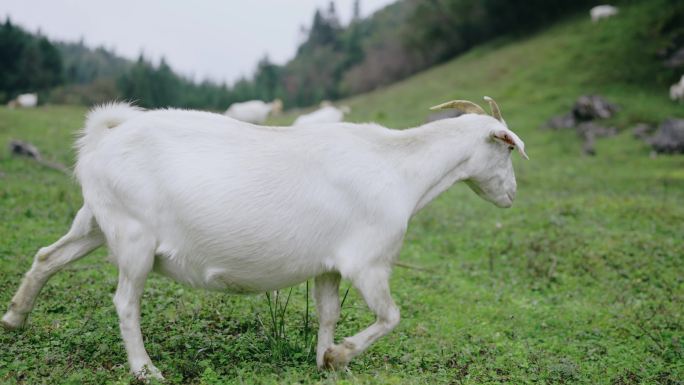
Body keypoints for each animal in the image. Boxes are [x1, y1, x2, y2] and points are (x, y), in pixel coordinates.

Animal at [1, 97, 528, 380]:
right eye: (506, 152)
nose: (512, 196)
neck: (399, 167)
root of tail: (106, 134)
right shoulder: (368, 262)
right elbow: (390, 316)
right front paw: (340, 356)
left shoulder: (330, 266)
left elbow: (327, 314)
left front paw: (326, 361)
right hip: (133, 238)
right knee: (125, 302)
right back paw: (145, 370)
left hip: (94, 220)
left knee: (47, 257)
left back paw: (14, 318)